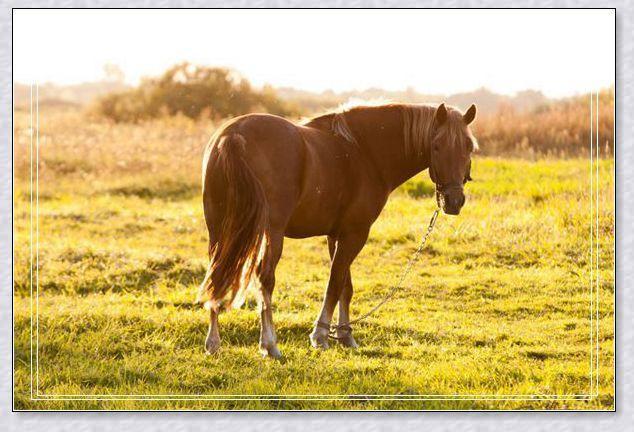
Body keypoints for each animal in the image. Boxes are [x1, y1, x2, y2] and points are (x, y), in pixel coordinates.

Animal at [196, 101, 474, 358]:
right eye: (436, 146)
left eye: (469, 147)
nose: (454, 201)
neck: (364, 152)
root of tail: (232, 136)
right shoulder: (356, 233)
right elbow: (335, 282)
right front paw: (320, 335)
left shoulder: (337, 234)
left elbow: (345, 287)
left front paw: (344, 335)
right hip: (270, 232)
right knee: (265, 279)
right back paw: (269, 344)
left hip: (219, 230)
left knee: (216, 273)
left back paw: (213, 343)